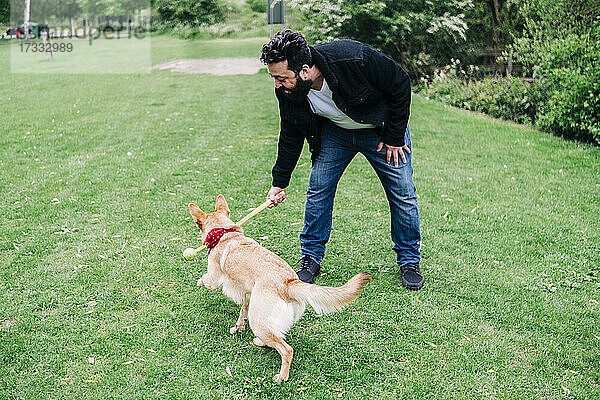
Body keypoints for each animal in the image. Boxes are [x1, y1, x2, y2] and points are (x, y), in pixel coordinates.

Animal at [189, 195, 370, 382]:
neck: (224, 234)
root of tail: (288, 282)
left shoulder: (214, 278)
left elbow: (205, 279)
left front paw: (199, 281)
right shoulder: (248, 294)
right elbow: (242, 312)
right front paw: (238, 327)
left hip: (259, 321)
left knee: (286, 349)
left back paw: (281, 376)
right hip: (261, 314)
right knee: (275, 335)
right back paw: (260, 342)